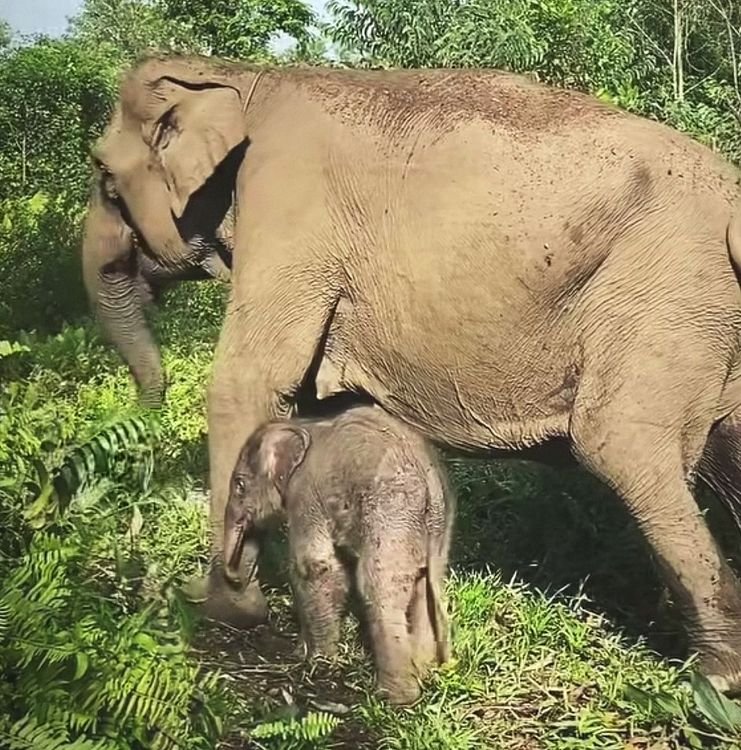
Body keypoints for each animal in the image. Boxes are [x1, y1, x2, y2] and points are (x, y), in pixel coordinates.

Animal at [222, 404, 454, 705]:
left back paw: (395, 698)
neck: (303, 425)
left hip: (391, 514)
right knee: (427, 584)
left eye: (240, 484)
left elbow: (314, 566)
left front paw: (317, 661)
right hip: (439, 528)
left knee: (378, 585)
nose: (234, 577)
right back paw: (425, 672)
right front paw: (303, 653)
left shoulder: (306, 494)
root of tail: (431, 485)